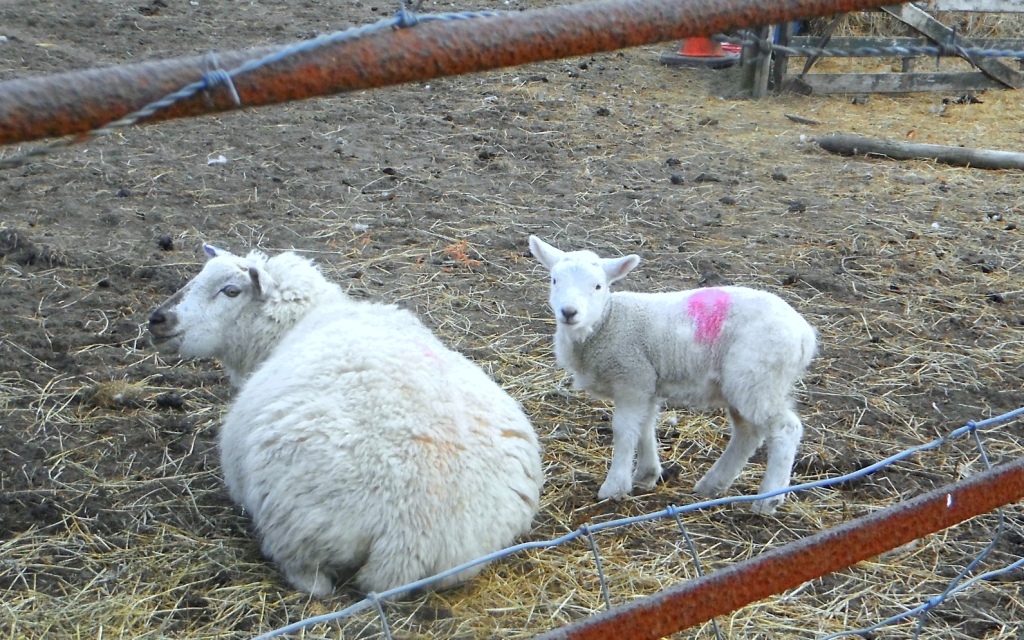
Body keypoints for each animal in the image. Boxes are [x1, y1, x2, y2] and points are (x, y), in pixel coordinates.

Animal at [148, 244, 543, 596]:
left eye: (231, 290)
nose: (157, 319)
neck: (303, 320)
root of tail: (413, 534)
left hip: (296, 523)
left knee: (313, 582)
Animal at [528, 235, 816, 515]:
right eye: (554, 280)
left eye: (598, 286)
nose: (568, 312)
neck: (607, 322)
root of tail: (805, 335)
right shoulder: (647, 383)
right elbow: (645, 426)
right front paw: (646, 475)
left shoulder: (631, 377)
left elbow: (623, 430)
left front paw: (614, 486)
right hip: (748, 382)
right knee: (747, 433)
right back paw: (713, 484)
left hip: (757, 376)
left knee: (785, 429)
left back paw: (768, 500)